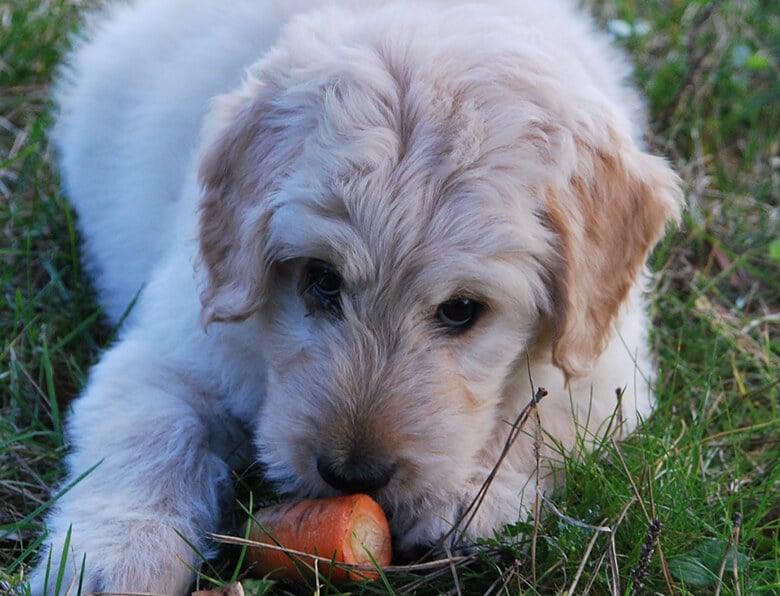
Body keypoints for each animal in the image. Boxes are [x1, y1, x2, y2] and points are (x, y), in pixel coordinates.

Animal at [33, 0, 684, 592]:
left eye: (462, 310)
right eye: (322, 279)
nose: (353, 476)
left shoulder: (608, 368)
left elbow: (545, 418)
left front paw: (472, 500)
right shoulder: (173, 349)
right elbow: (150, 437)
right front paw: (113, 560)